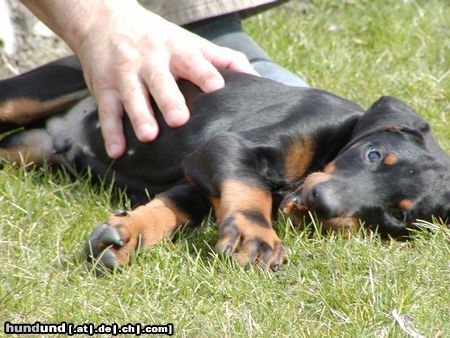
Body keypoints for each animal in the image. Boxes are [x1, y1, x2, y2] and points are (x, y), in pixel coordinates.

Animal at [0, 56, 448, 270]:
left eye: (395, 216)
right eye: (372, 154)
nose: (321, 203)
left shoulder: (198, 179)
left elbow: (170, 209)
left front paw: (124, 238)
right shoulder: (225, 147)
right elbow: (250, 190)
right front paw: (256, 236)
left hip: (28, 149)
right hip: (39, 91)